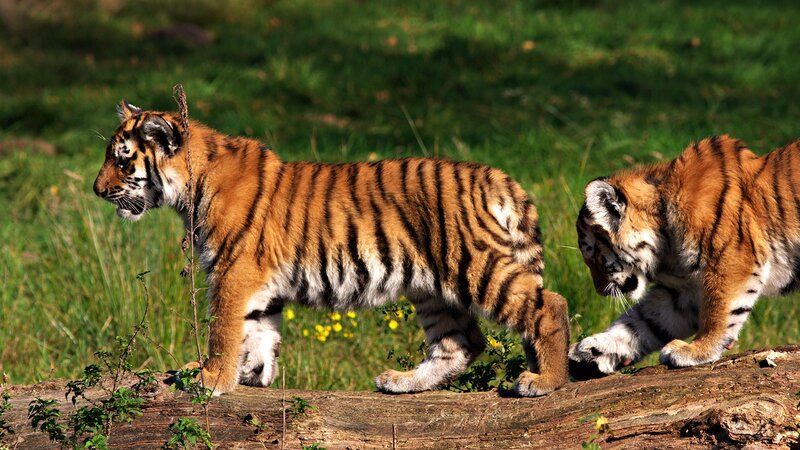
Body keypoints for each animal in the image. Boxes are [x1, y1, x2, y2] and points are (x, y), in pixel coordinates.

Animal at [92, 100, 570, 396]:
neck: (190, 188)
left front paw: (211, 378)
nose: (97, 190)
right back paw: (401, 382)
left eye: (122, 159)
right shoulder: (258, 282)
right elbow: (258, 329)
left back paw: (545, 381)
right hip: (432, 288)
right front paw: (252, 374)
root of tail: (497, 177)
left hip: (474, 264)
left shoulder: (233, 270)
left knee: (550, 305)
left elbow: (224, 328)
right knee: (462, 342)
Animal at [569, 134, 800, 379]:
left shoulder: (732, 262)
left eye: (593, 255)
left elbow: (718, 311)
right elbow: (641, 321)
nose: (599, 291)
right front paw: (592, 350)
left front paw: (697, 349)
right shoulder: (685, 290)